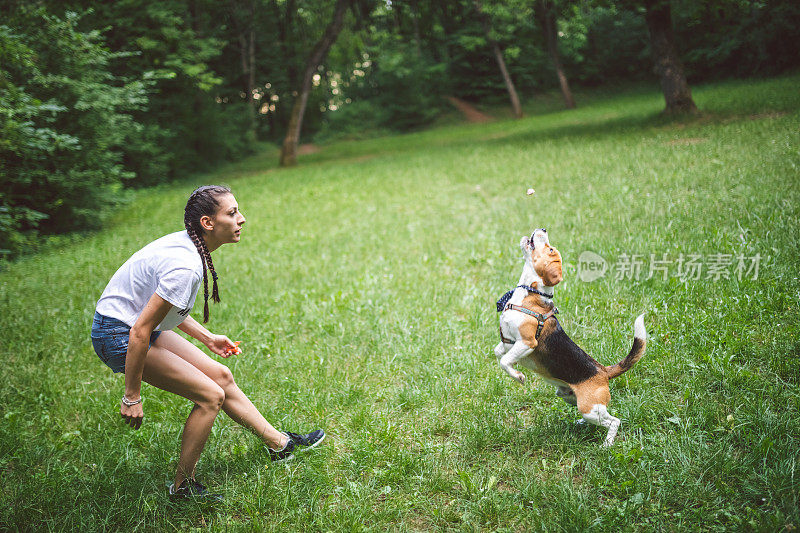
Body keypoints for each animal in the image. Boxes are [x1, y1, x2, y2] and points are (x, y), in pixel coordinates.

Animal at [494, 228, 644, 444]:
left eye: (550, 249)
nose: (543, 229)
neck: (530, 295)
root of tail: (603, 371)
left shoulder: (527, 342)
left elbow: (505, 361)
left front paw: (518, 376)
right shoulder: (508, 342)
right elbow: (499, 353)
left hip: (588, 407)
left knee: (614, 421)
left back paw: (607, 443)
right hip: (568, 397)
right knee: (599, 416)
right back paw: (582, 424)